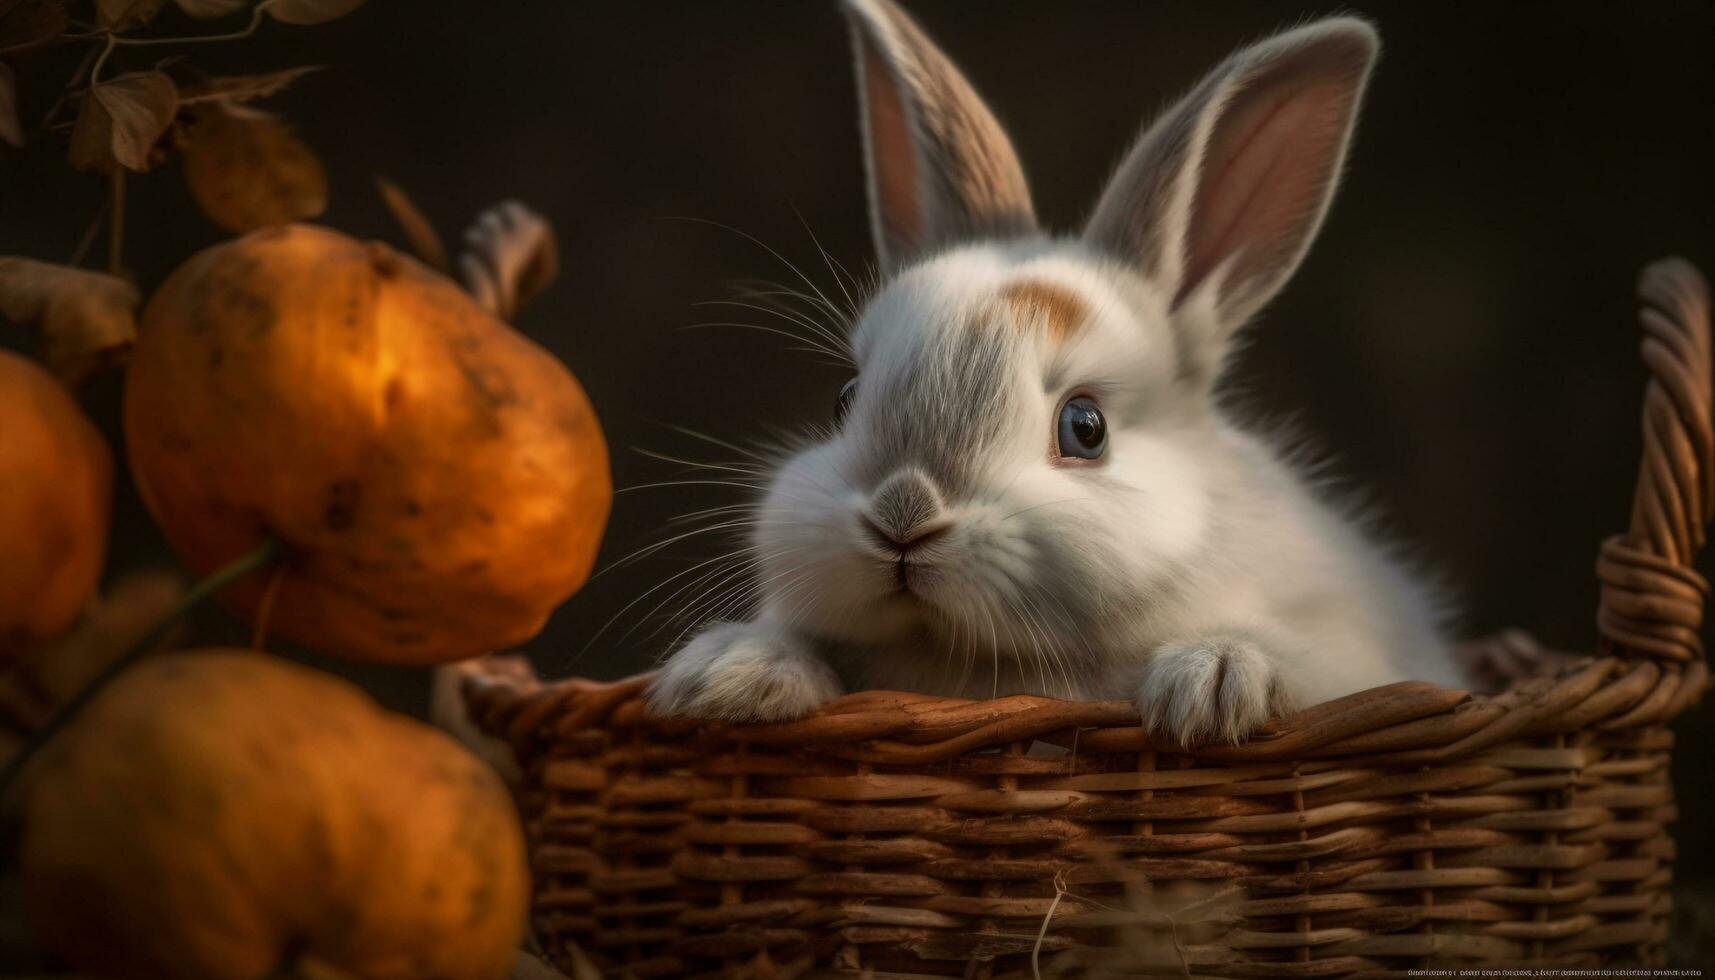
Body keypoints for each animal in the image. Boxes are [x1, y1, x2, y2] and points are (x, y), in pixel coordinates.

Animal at [644, 0, 1461, 744]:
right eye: (843, 400)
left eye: (1085, 428)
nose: (903, 515)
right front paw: (726, 674)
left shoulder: (1355, 662)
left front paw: (1212, 684)